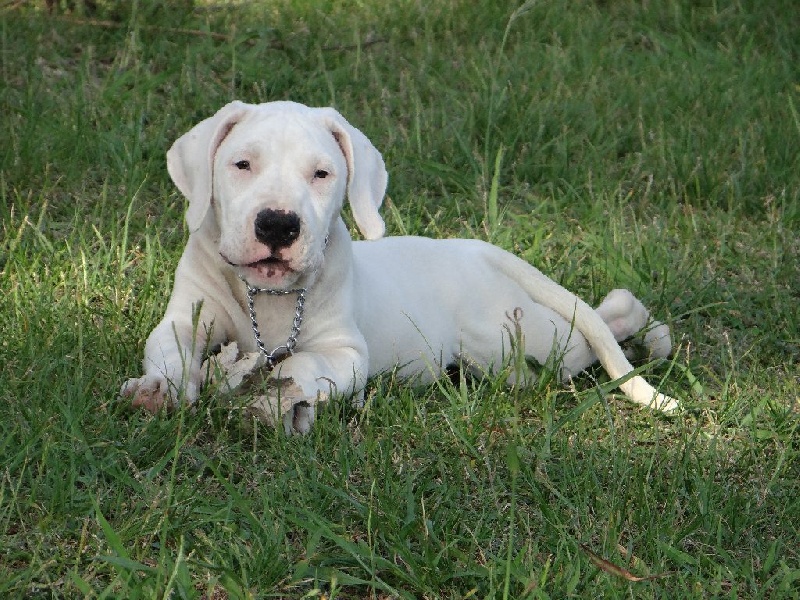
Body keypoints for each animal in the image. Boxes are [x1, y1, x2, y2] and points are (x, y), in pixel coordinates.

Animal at [122, 102, 680, 432]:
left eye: (322, 174)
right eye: (241, 164)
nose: (278, 225)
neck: (268, 298)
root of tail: (474, 247)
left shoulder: (346, 353)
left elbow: (302, 364)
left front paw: (277, 398)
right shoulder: (185, 316)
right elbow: (168, 348)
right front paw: (163, 390)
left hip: (515, 342)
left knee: (590, 331)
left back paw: (646, 330)